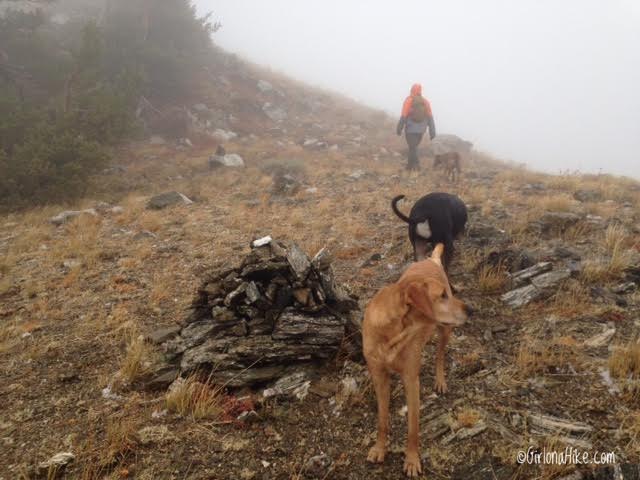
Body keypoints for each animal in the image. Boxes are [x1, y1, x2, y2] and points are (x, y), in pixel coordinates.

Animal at [360, 246, 470, 478]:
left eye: (448, 294)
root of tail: (431, 259)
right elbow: (382, 420)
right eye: (442, 296)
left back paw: (440, 381)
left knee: (440, 356)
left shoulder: (411, 380)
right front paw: (380, 448)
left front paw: (411, 460)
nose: (470, 310)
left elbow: (413, 428)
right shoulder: (379, 377)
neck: (391, 333)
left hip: (445, 330)